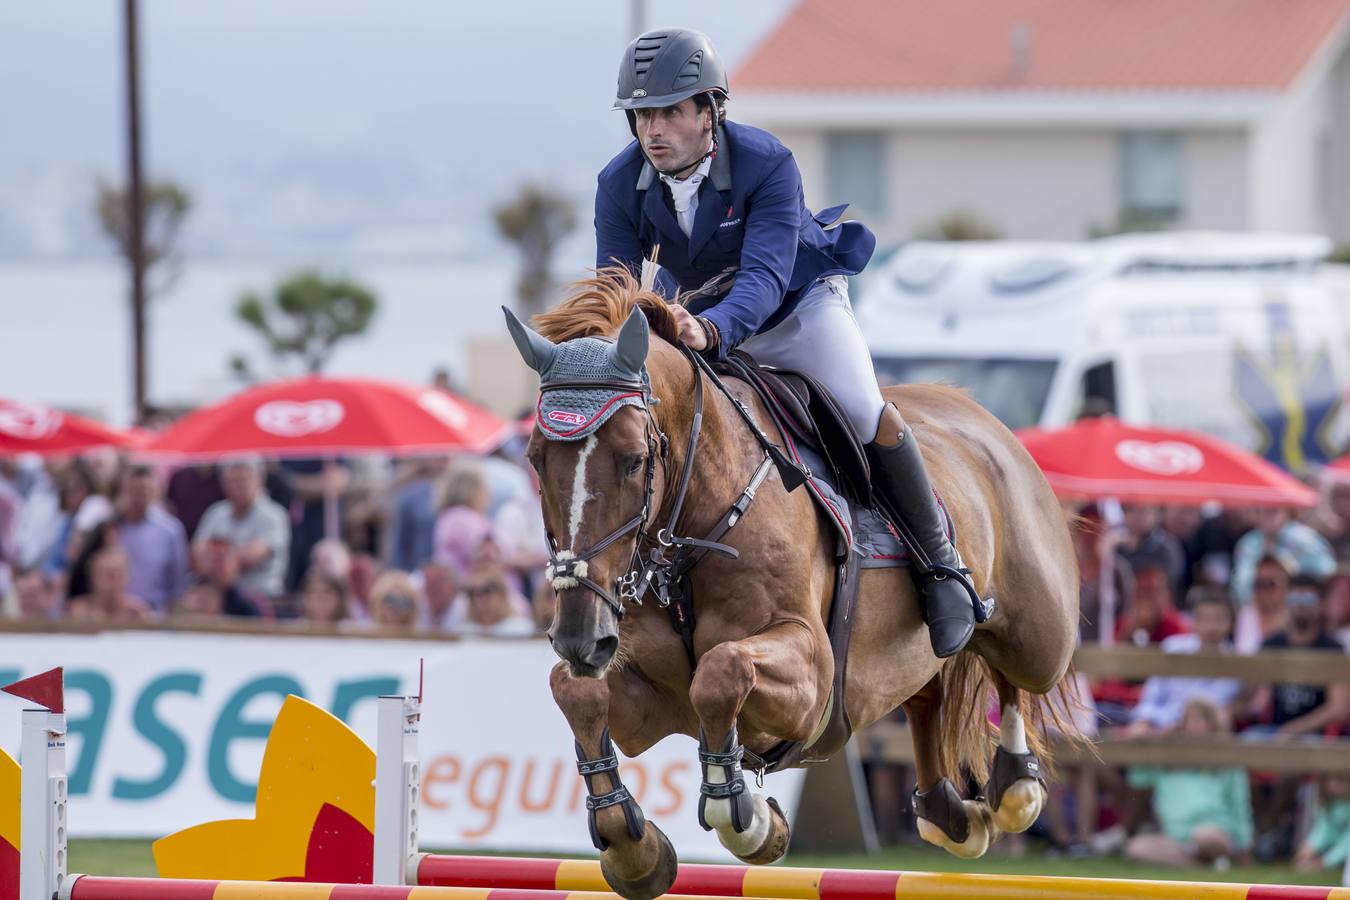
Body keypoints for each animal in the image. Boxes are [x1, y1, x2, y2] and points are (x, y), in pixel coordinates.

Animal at [507, 271, 1085, 895]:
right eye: (535, 458)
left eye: (634, 460)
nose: (578, 639)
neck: (695, 524)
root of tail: (976, 411)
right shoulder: (645, 700)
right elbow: (577, 692)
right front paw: (634, 850)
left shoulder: (812, 678)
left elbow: (721, 672)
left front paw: (749, 819)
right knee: (927, 694)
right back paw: (950, 813)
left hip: (1037, 637)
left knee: (1015, 675)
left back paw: (1015, 786)